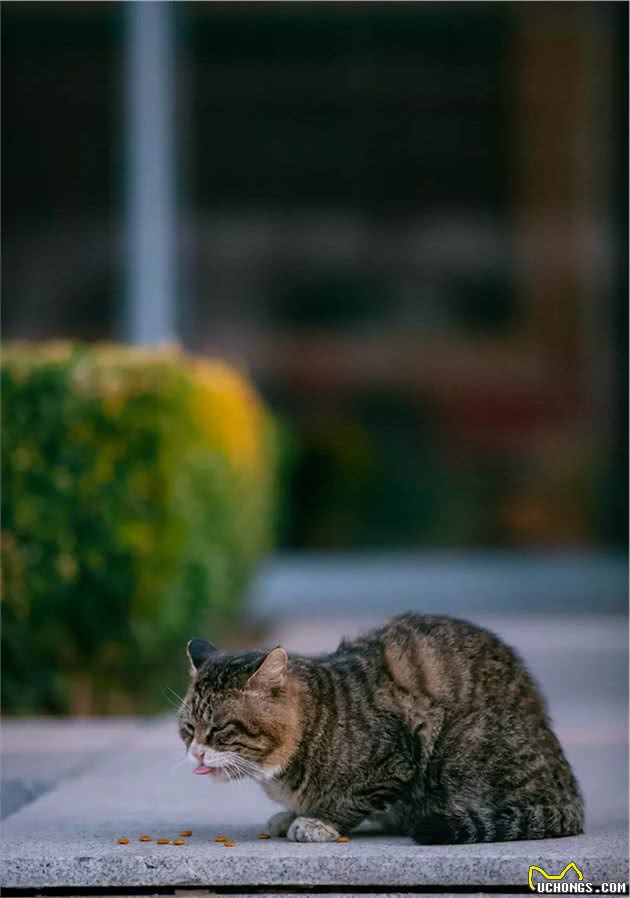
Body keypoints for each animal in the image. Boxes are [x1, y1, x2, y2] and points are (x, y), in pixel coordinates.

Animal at [177, 608, 584, 840]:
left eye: (219, 729)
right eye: (188, 729)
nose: (195, 752)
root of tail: (570, 794)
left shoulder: (400, 751)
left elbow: (351, 799)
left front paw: (317, 821)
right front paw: (295, 813)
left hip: (465, 746)